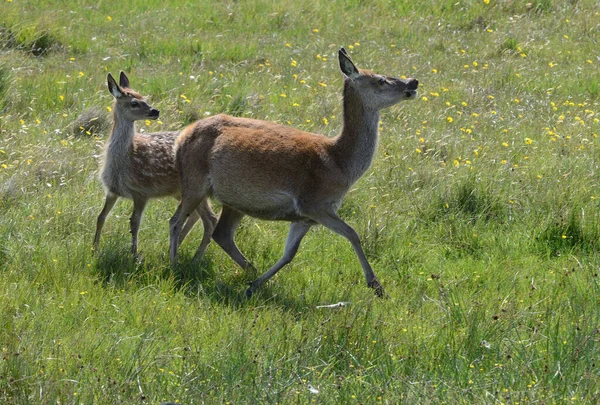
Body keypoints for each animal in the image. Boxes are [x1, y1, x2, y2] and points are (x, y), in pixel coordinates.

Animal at [97, 70, 219, 252]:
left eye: (144, 98)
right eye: (134, 103)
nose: (155, 111)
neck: (125, 161)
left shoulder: (142, 191)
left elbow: (134, 223)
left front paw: (134, 254)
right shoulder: (112, 190)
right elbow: (101, 217)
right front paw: (94, 248)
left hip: (195, 187)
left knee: (210, 218)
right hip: (182, 191)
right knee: (197, 216)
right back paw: (176, 245)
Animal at [169, 49, 418, 296]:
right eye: (380, 80)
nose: (413, 82)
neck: (339, 164)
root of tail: (182, 138)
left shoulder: (304, 218)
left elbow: (289, 254)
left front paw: (255, 285)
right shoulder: (314, 202)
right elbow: (353, 233)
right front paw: (377, 286)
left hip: (233, 200)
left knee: (221, 233)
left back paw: (248, 271)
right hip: (195, 181)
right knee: (176, 221)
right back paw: (175, 266)